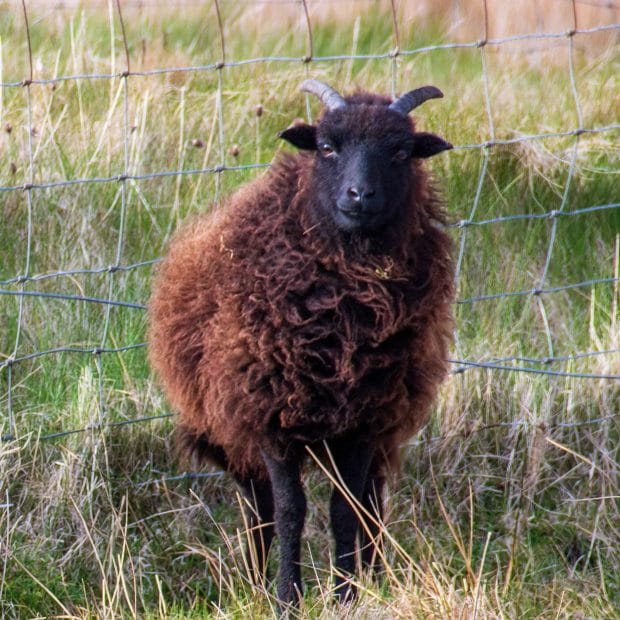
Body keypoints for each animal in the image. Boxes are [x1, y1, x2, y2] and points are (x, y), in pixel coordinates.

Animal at [147, 80, 452, 608]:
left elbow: (345, 509)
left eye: (400, 152)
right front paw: (286, 597)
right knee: (260, 507)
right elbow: (290, 511)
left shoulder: (365, 420)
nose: (360, 194)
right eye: (327, 147)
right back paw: (253, 580)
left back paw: (375, 576)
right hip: (233, 429)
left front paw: (347, 594)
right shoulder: (271, 417)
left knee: (372, 500)